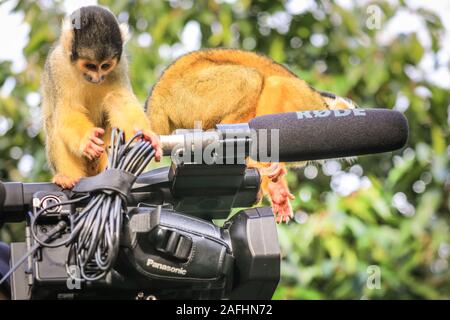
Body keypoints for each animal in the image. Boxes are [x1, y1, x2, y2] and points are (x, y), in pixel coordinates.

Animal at [42, 6, 161, 189]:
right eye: (90, 66)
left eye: (104, 66)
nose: (97, 78)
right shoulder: (57, 66)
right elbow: (67, 111)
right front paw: (87, 139)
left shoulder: (119, 65)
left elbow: (118, 99)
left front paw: (146, 134)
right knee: (54, 124)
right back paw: (67, 177)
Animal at [147, 48, 356, 222]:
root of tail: (158, 93)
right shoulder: (308, 105)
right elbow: (277, 87)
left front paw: (276, 189)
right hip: (190, 91)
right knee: (252, 79)